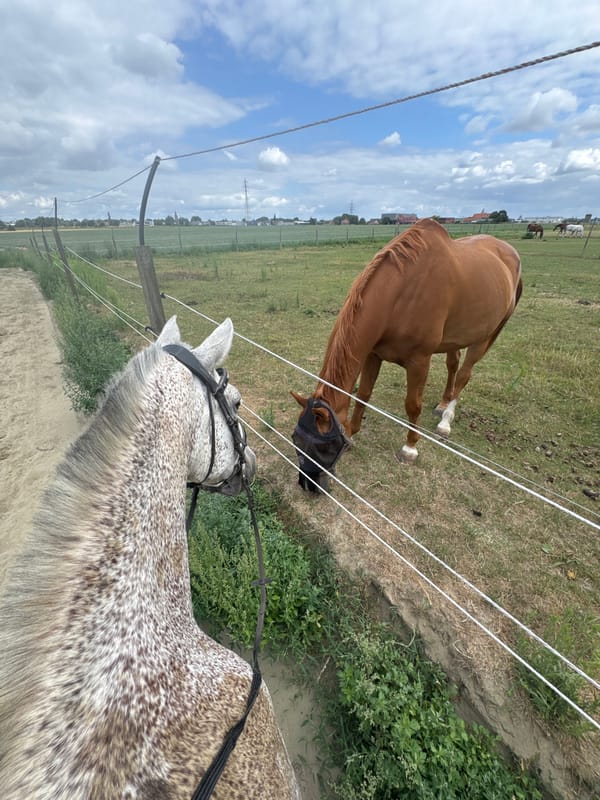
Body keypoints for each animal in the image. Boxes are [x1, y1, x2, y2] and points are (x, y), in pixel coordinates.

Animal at [291, 218, 522, 488]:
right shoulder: (373, 355)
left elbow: (413, 405)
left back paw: (446, 421)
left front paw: (410, 448)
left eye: (323, 448)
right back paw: (443, 404)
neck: (402, 294)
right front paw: (352, 434)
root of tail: (510, 253)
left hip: (485, 336)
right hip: (455, 338)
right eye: (296, 440)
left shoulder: (419, 361)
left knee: (465, 374)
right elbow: (364, 395)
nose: (308, 485)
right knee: (453, 366)